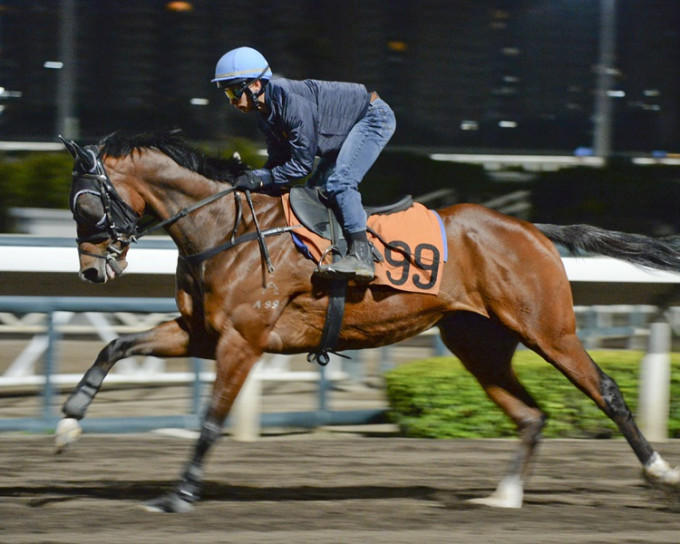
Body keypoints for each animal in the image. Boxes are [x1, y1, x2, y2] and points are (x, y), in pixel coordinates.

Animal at [57, 130, 680, 512]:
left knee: (605, 389)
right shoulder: (202, 335)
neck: (228, 229)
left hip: (548, 329)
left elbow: (211, 421)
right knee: (530, 415)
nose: (90, 272)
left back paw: (658, 472)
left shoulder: (242, 341)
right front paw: (68, 425)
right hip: (478, 343)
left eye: (85, 206)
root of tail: (532, 229)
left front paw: (179, 495)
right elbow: (115, 345)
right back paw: (503, 496)